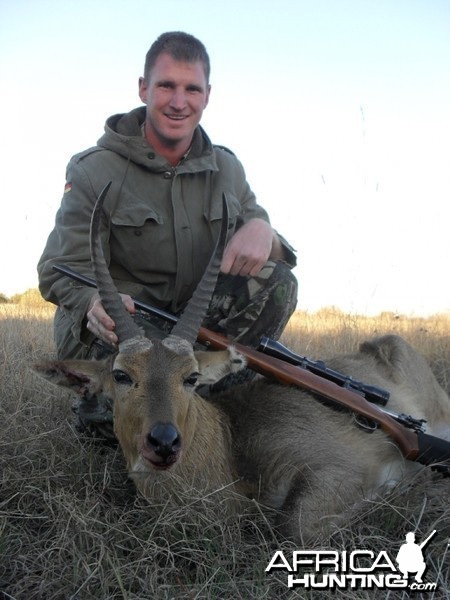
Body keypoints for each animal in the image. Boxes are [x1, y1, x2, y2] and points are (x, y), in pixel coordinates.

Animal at [34, 189, 450, 544]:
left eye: (191, 377)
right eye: (122, 375)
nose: (164, 441)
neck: (231, 449)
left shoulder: (341, 469)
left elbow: (296, 527)